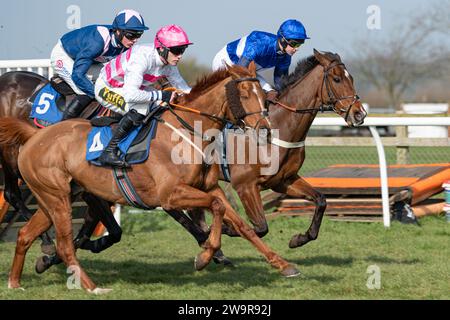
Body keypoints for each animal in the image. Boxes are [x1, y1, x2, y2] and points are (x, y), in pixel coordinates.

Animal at [0, 63, 298, 296]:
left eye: (263, 95)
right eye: (245, 93)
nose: (266, 130)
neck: (187, 131)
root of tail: (34, 136)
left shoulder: (210, 187)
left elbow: (241, 223)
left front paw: (282, 264)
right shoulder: (170, 195)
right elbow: (214, 208)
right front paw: (205, 256)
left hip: (52, 199)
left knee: (26, 235)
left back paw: (15, 282)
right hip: (57, 198)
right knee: (62, 243)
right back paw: (92, 287)